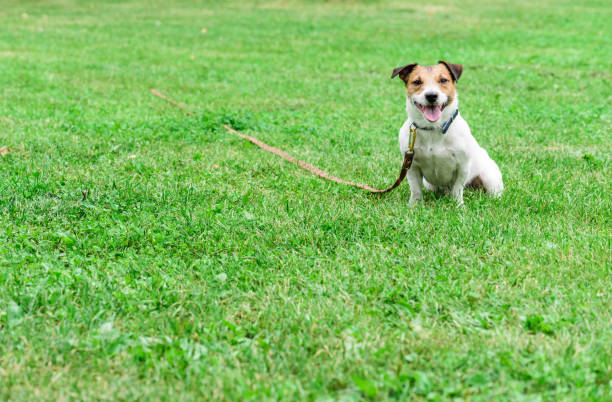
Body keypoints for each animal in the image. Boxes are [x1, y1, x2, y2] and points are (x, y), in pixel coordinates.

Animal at [392, 61, 502, 206]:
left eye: (443, 80)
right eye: (417, 82)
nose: (431, 96)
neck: (433, 128)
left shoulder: (462, 166)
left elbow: (457, 189)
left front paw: (458, 205)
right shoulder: (411, 166)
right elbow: (415, 189)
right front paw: (414, 205)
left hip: (489, 177)